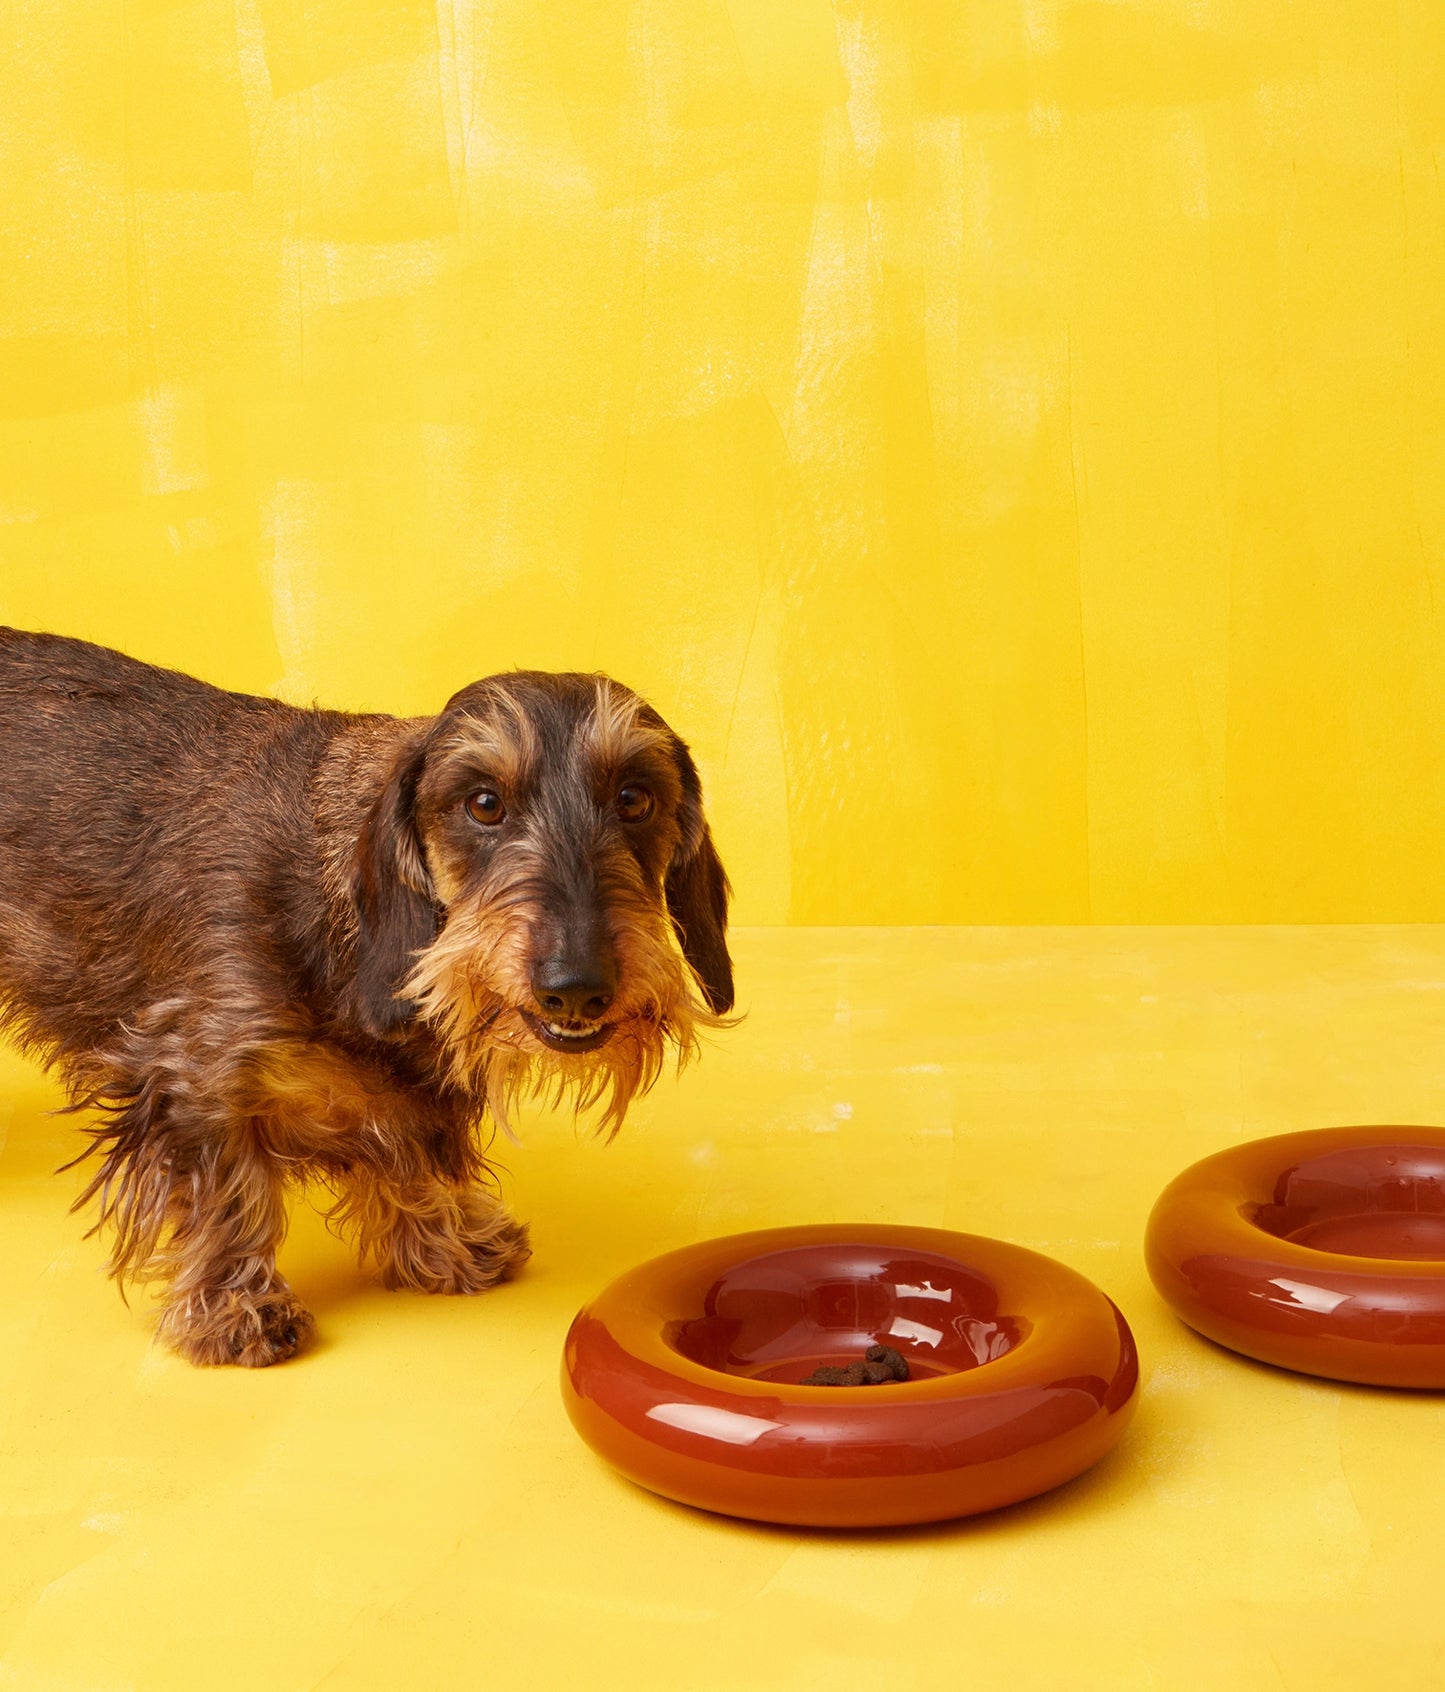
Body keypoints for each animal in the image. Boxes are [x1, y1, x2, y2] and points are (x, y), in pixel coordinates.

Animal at [0, 629, 734, 1367]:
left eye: (635, 798)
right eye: (484, 803)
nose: (576, 988)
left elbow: (405, 1154)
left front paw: (444, 1238)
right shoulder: (192, 1073)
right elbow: (229, 1191)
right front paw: (235, 1305)